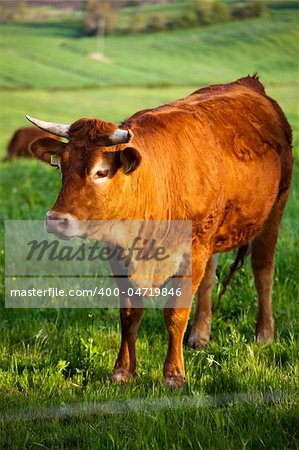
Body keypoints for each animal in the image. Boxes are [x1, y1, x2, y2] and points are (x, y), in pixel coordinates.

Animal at [27, 75, 294, 388]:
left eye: (100, 172)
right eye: (61, 166)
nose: (56, 220)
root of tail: (250, 84)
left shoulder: (192, 251)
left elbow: (175, 313)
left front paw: (174, 374)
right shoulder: (118, 255)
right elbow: (129, 314)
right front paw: (123, 371)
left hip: (274, 209)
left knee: (263, 271)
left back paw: (264, 333)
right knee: (208, 280)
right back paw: (200, 335)